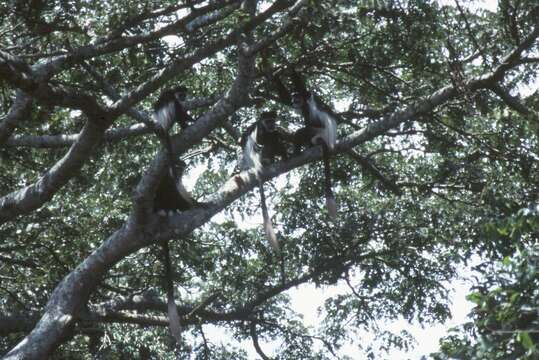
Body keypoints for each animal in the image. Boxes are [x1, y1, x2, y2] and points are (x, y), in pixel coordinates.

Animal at [240, 111, 292, 252]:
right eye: (268, 121)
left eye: (272, 120)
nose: (272, 125)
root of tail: (256, 165)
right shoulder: (260, 129)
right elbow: (262, 139)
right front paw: (277, 132)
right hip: (264, 153)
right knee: (271, 141)